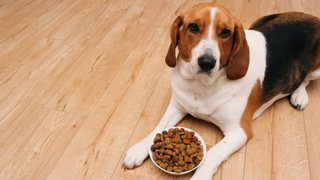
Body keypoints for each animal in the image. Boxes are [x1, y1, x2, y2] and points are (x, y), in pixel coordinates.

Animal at [122, 3, 320, 180]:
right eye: (193, 27)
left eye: (225, 32)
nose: (207, 62)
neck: (202, 85)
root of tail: (313, 18)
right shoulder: (177, 106)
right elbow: (159, 127)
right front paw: (139, 149)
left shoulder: (239, 132)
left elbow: (212, 153)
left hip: (317, 70)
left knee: (304, 80)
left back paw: (299, 96)